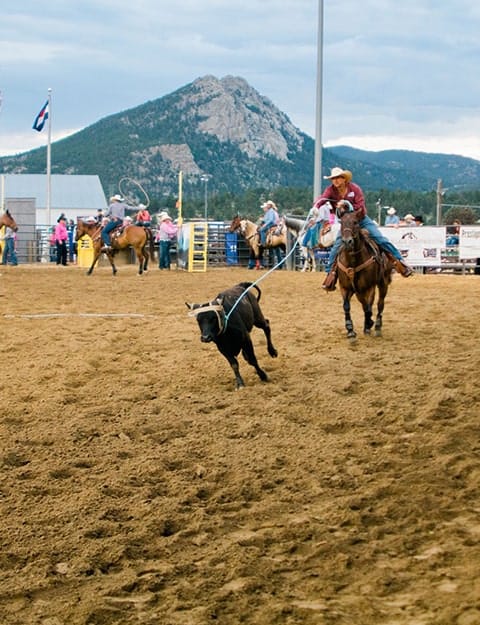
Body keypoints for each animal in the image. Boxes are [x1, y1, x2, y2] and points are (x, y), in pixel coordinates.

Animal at [336, 207, 392, 338]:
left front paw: (369, 324)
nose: (347, 241)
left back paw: (377, 326)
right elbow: (346, 306)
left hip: (383, 284)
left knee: (379, 304)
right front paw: (350, 330)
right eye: (341, 223)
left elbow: (369, 307)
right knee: (365, 304)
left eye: (356, 222)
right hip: (358, 290)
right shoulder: (345, 287)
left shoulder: (369, 287)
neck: (353, 262)